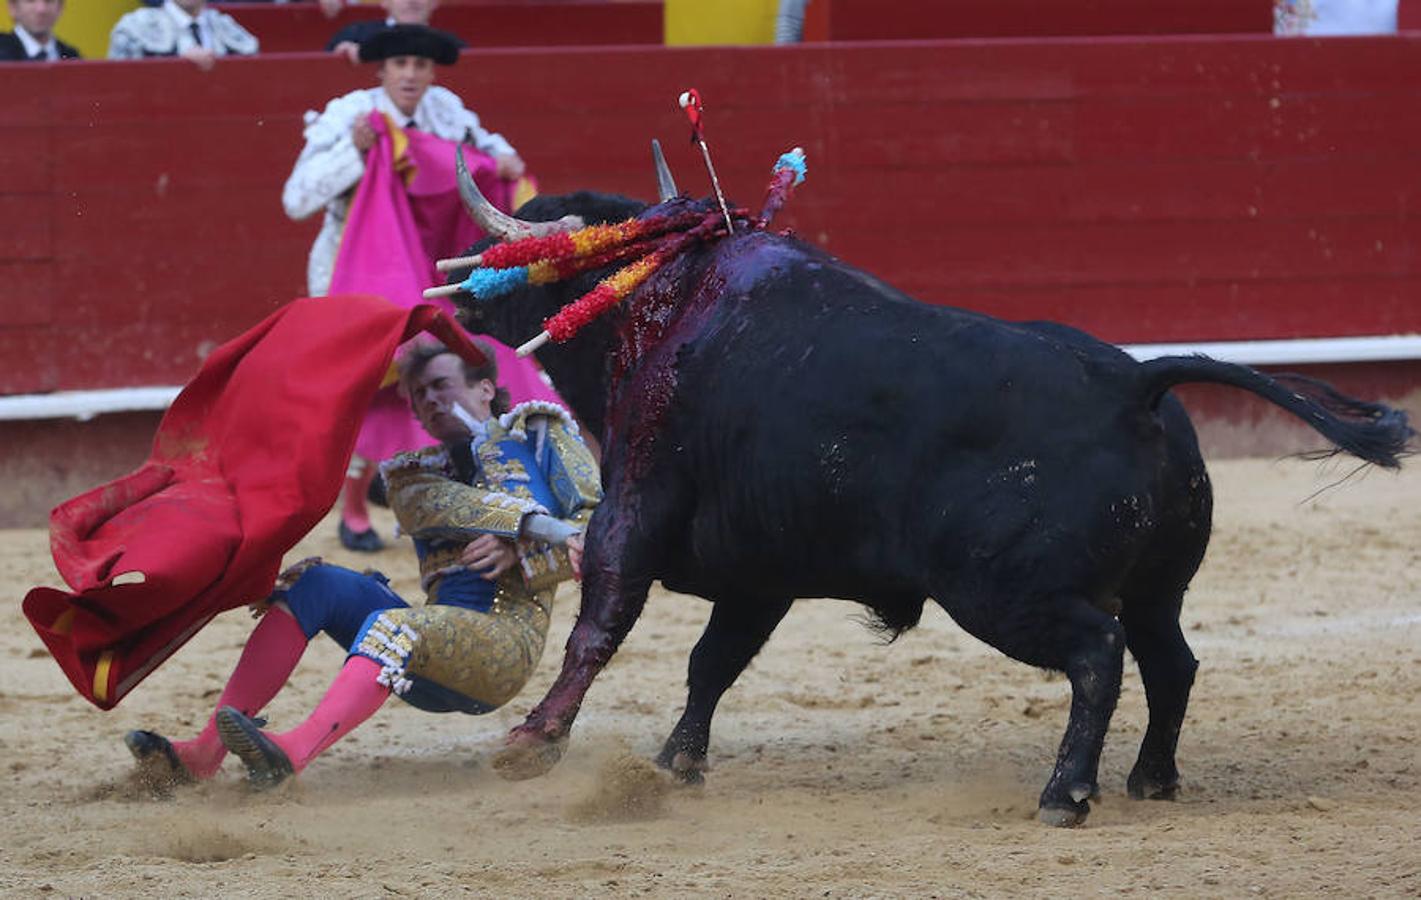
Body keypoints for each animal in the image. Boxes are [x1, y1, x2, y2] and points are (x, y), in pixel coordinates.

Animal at [446, 193, 1409, 824]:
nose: (449, 293)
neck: (663, 302)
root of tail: (1132, 383)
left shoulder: (633, 514)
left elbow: (601, 627)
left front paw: (531, 745)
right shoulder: (760, 574)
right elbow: (711, 663)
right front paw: (676, 763)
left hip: (1003, 592)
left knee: (1098, 655)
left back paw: (1065, 794)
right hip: (1155, 587)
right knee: (1169, 661)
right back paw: (1150, 778)